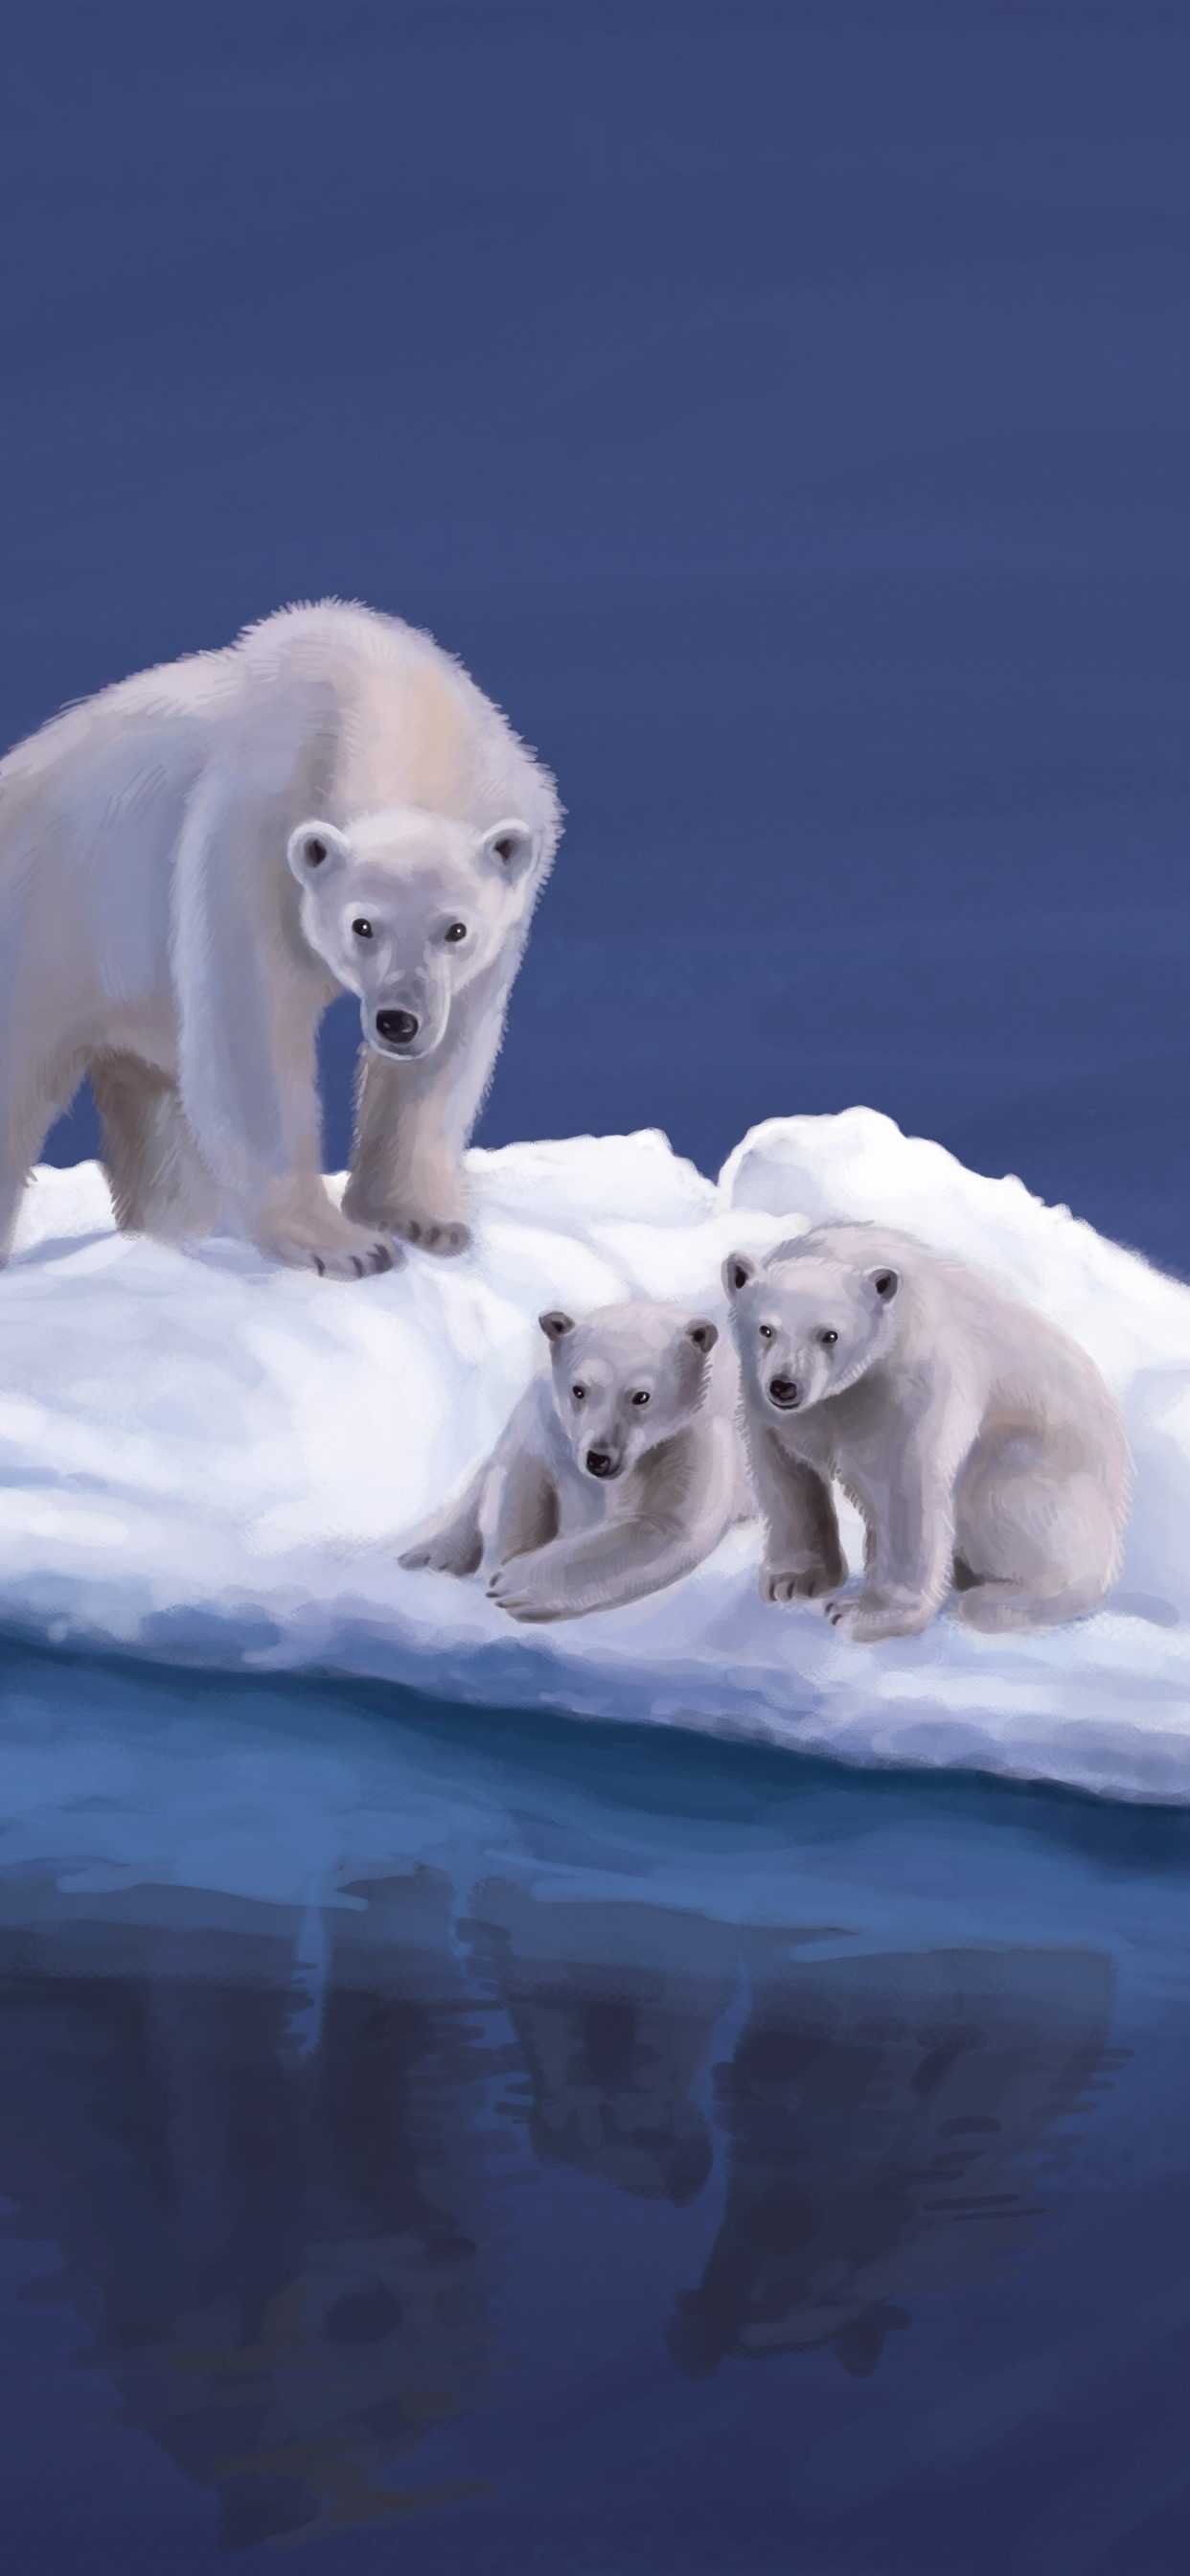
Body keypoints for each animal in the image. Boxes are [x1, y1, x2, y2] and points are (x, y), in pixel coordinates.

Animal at [0, 600, 560, 1278]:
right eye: (361, 924)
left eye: (457, 929)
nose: (399, 1021)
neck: (393, 699)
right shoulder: (251, 834)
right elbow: (252, 1029)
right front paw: (346, 1245)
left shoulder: (514, 858)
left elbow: (451, 1051)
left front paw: (423, 1219)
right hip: (48, 924)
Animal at [398, 1298, 751, 1622]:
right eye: (578, 1390)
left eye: (641, 1396)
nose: (599, 1458)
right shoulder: (547, 1420)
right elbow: (519, 1477)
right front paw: (502, 1554)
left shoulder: (688, 1436)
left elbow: (664, 1524)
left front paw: (513, 1584)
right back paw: (428, 1553)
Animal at [723, 1221, 1131, 1641]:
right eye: (766, 1329)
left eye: (829, 1335)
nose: (785, 1386)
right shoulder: (770, 1398)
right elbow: (784, 1472)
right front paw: (792, 1581)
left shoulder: (912, 1376)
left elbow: (907, 1485)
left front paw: (864, 1614)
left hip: (1042, 1471)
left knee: (1001, 1496)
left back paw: (998, 1602)